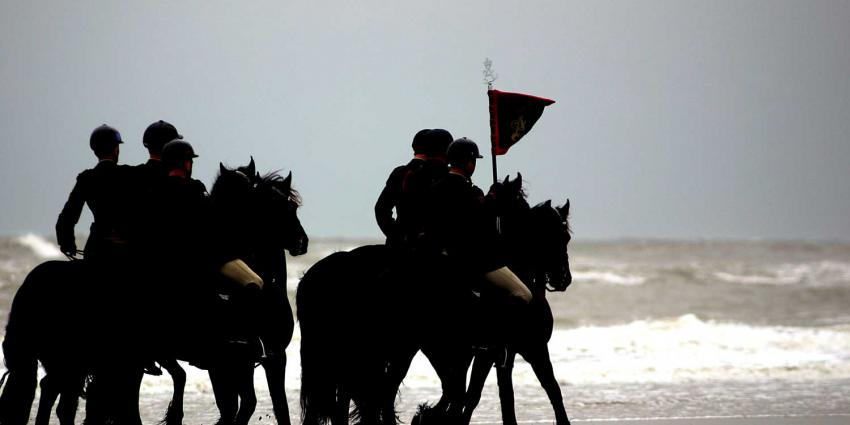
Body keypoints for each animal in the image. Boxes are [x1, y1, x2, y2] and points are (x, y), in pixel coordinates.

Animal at [296, 173, 568, 424]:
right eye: (558, 236)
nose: (564, 278)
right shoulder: (521, 349)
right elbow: (541, 389)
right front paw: (429, 415)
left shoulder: (488, 353)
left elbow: (484, 393)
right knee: (376, 391)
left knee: (363, 392)